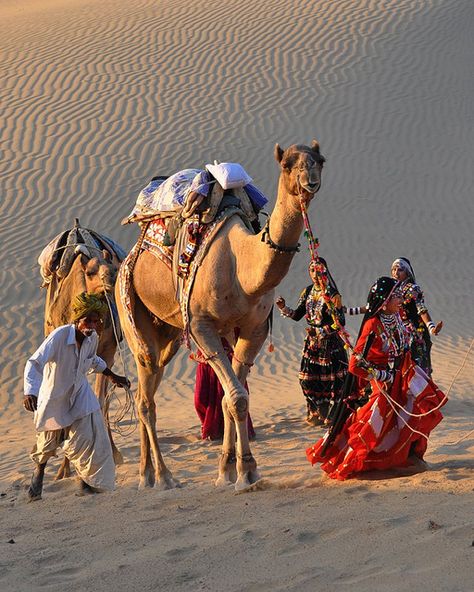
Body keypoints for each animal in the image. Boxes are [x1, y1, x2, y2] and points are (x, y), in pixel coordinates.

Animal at [117, 141, 326, 492]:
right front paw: (243, 472)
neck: (241, 264)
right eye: (287, 164)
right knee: (146, 397)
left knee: (150, 390)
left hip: (168, 335)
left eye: (320, 161)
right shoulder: (202, 327)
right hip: (129, 307)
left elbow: (235, 399)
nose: (310, 181)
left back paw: (146, 474)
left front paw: (233, 468)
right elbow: (237, 397)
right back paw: (163, 476)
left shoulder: (253, 329)